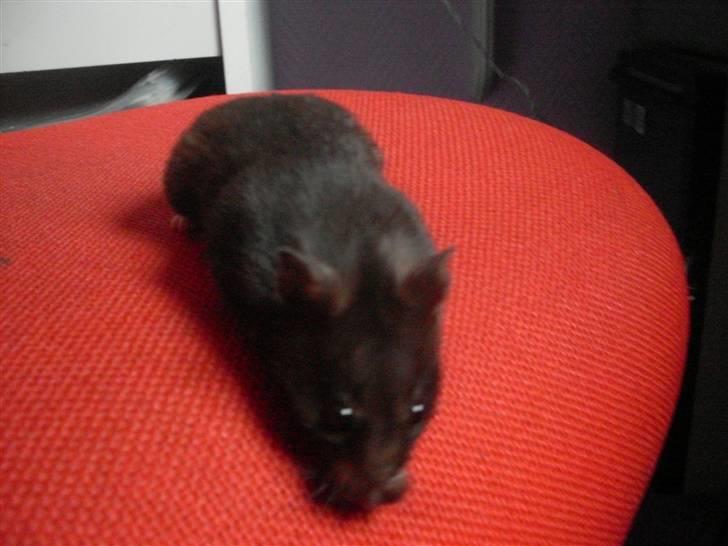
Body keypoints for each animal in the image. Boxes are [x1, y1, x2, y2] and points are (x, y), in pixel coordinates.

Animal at [164, 94, 452, 510]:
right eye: (340, 415)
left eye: (418, 411)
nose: (379, 498)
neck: (363, 252)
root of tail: (261, 97)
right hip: (178, 175)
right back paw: (180, 223)